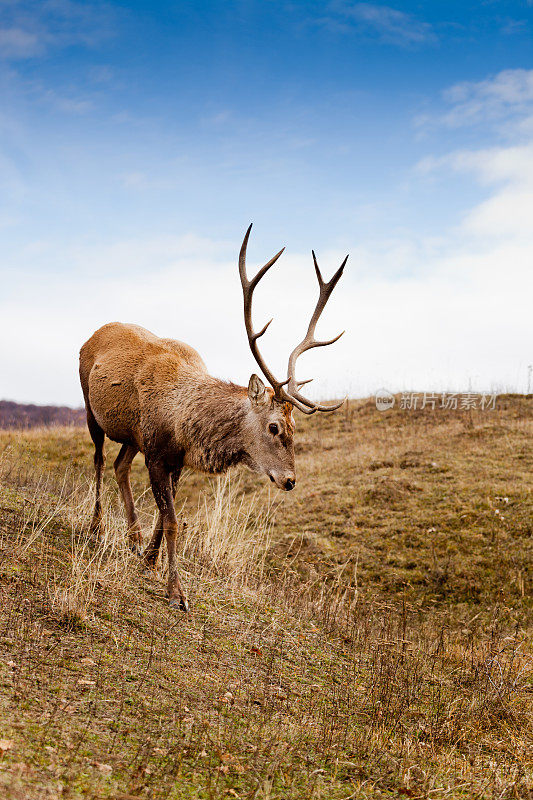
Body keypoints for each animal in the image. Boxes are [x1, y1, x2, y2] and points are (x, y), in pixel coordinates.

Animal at [78, 225, 344, 612]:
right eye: (274, 426)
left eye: (296, 428)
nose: (290, 480)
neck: (182, 424)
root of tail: (93, 334)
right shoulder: (157, 454)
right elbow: (173, 521)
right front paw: (176, 592)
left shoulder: (172, 459)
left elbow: (165, 516)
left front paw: (149, 560)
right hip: (90, 408)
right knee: (98, 460)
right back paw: (97, 528)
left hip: (131, 435)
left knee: (119, 465)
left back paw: (133, 539)